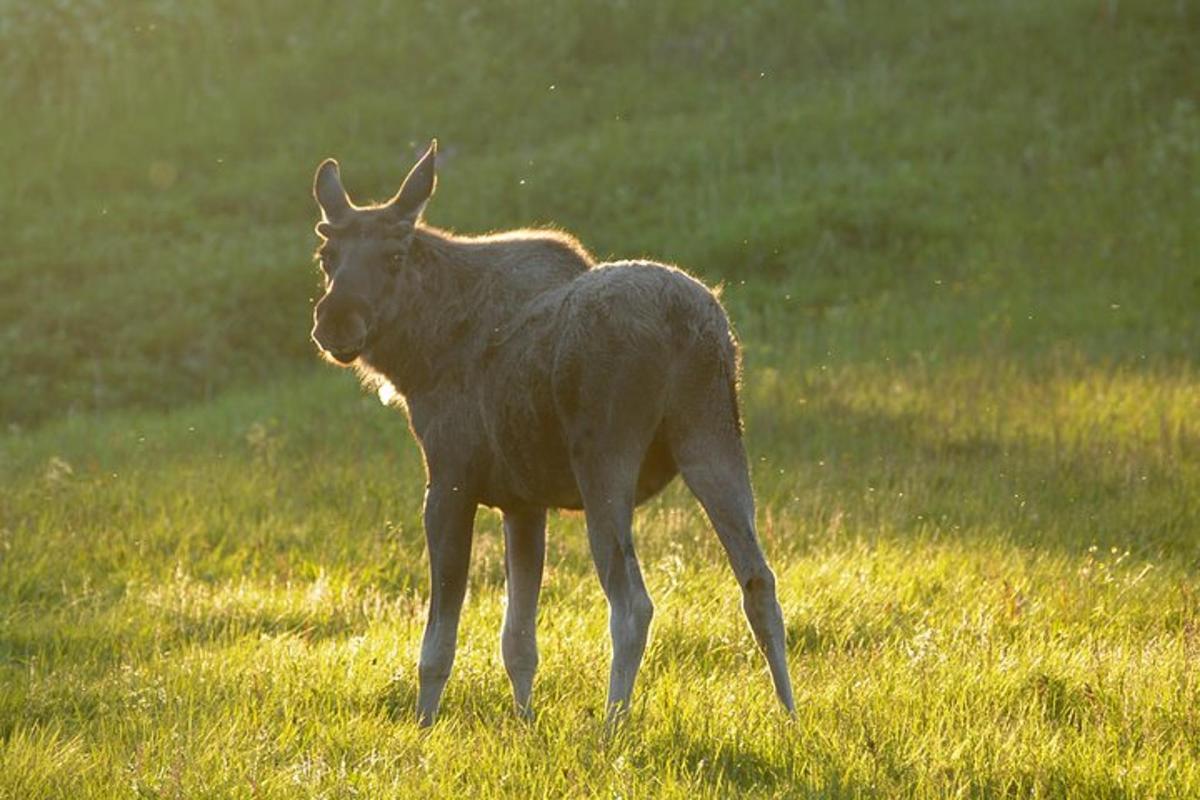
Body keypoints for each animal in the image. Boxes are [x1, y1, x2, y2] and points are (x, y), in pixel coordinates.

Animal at [312, 140, 796, 724]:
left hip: (605, 460)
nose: (337, 319)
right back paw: (790, 717)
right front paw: (524, 723)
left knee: (633, 603)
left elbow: (439, 642)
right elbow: (518, 640)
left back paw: (612, 724)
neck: (416, 361)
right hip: (713, 436)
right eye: (326, 257)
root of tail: (690, 327)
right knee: (759, 580)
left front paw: (424, 725)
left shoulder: (449, 481)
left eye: (394, 256)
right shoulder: (524, 502)